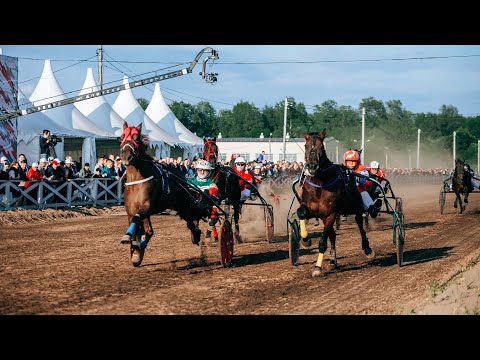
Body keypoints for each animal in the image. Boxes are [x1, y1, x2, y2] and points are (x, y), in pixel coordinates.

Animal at [119, 122, 212, 266]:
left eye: (137, 138)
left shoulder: (146, 207)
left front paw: (131, 241)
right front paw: (135, 252)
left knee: (189, 219)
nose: (126, 156)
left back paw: (196, 234)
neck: (137, 181)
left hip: (182, 204)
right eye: (122, 137)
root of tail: (182, 177)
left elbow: (138, 221)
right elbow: (138, 228)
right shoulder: (131, 210)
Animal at [296, 131, 376, 278]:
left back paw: (367, 249)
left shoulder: (330, 213)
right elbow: (301, 213)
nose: (312, 166)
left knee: (360, 225)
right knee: (332, 235)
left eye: (322, 146)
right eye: (305, 145)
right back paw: (333, 259)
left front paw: (317, 268)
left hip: (355, 207)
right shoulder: (311, 208)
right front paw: (305, 240)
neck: (320, 184)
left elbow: (322, 242)